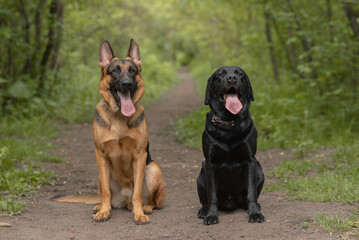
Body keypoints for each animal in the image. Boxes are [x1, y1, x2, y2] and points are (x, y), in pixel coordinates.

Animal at [53, 38, 166, 224]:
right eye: (114, 71)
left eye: (133, 71)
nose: (127, 84)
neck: (119, 117)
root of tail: (124, 200)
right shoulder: (101, 155)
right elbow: (105, 191)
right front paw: (104, 212)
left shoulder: (140, 155)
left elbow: (137, 193)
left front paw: (139, 213)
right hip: (100, 175)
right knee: (106, 195)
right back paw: (101, 206)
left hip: (153, 168)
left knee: (152, 200)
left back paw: (146, 208)